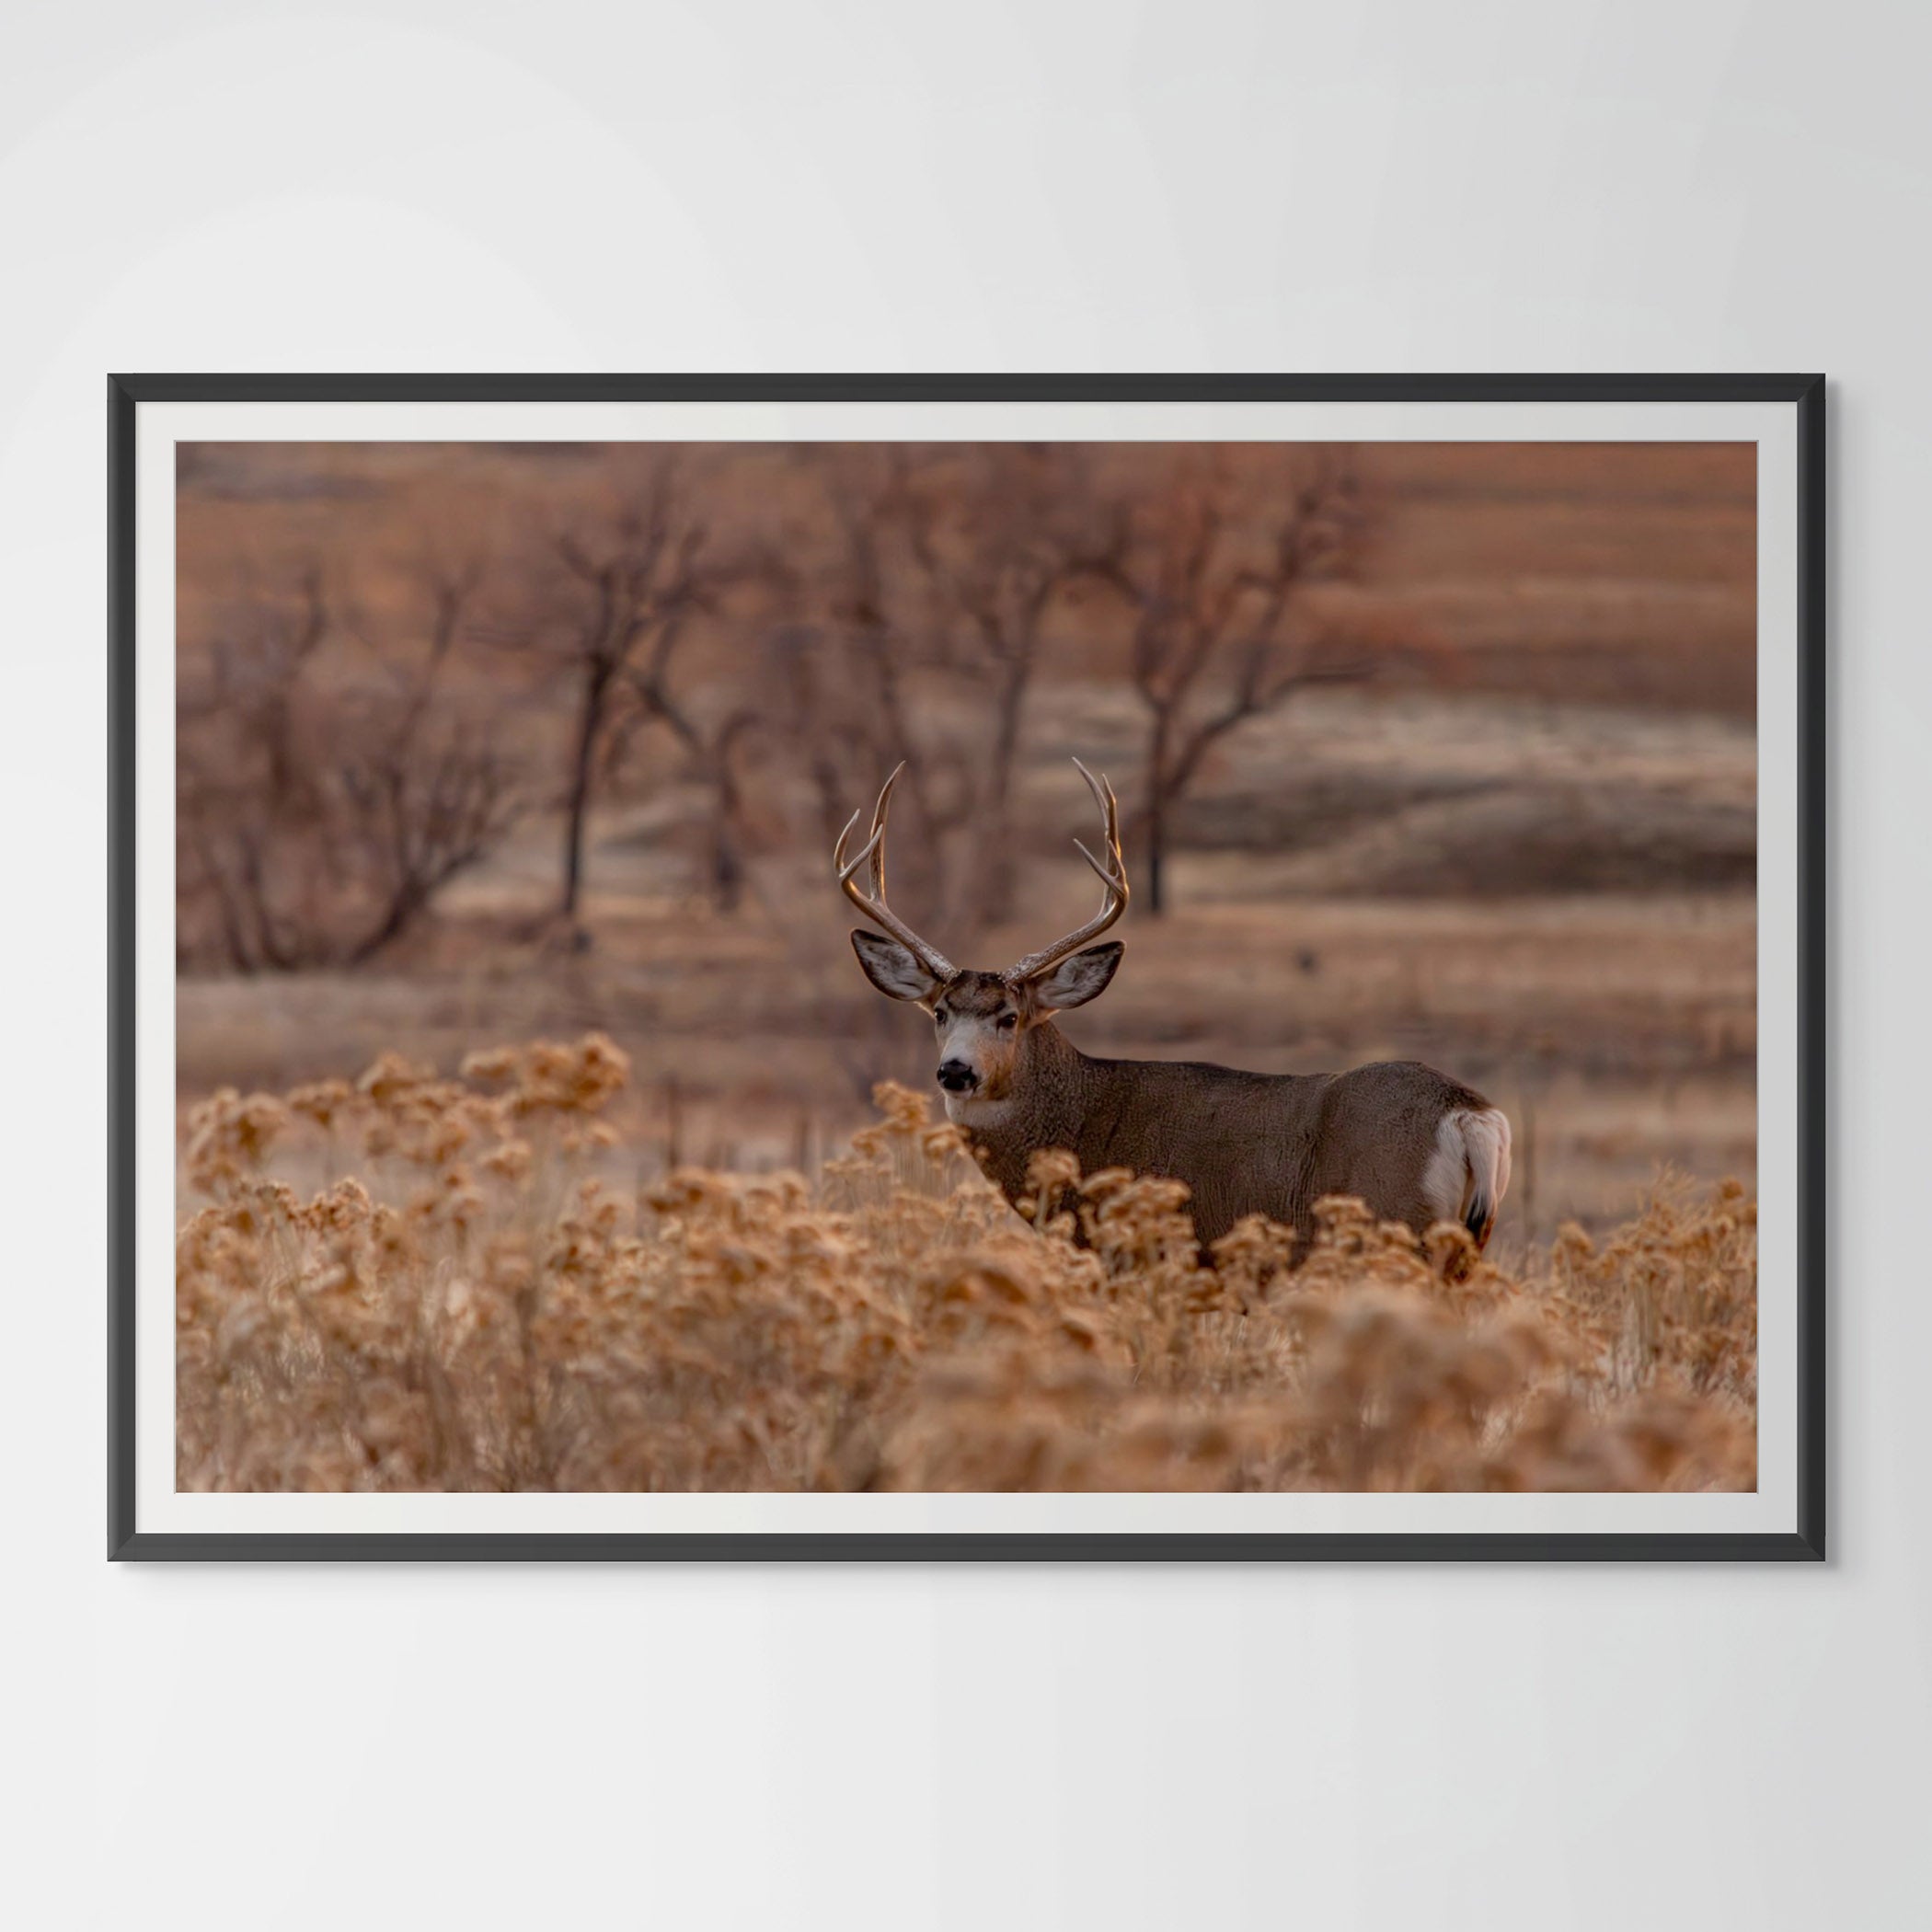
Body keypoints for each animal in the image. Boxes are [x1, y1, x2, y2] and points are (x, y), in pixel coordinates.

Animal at [836, 758, 1511, 1269]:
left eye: (1009, 1017)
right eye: (940, 1013)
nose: (956, 1071)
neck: (1079, 1122)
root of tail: (1470, 1115)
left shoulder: (1133, 1253)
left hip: (1391, 1228)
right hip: (1464, 1243)